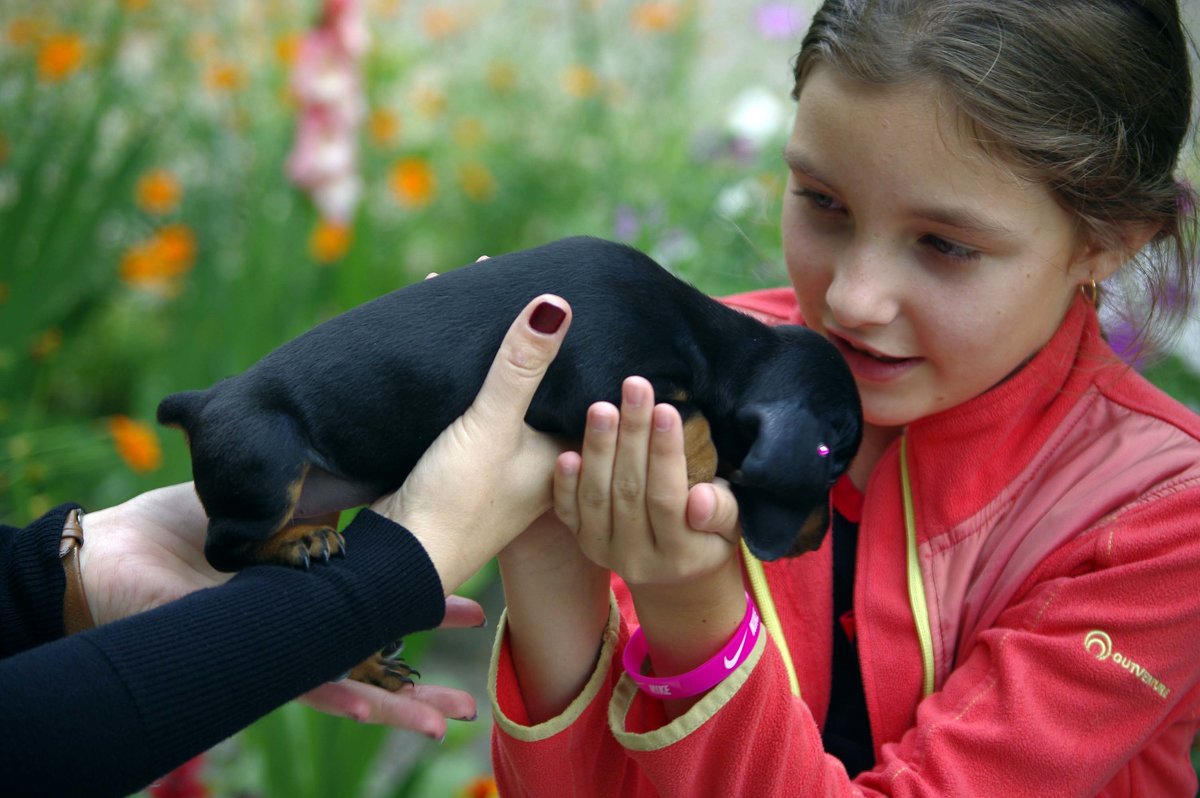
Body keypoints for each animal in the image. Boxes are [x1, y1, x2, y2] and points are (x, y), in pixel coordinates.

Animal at [159, 234, 864, 686]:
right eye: (833, 463)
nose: (820, 538)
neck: (707, 341)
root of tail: (201, 401)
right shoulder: (599, 386)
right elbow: (695, 421)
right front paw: (693, 467)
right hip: (267, 467)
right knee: (223, 547)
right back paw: (297, 543)